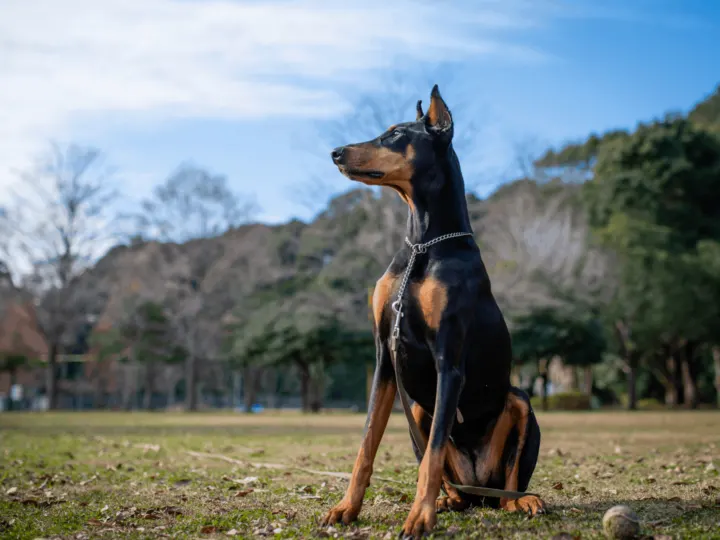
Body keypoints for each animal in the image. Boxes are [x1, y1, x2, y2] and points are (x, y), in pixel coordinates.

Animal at [322, 86, 544, 536]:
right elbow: (367, 445)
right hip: (419, 410)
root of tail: (479, 486)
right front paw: (347, 507)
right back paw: (448, 500)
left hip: (519, 401)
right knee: (453, 483)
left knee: (506, 484)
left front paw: (418, 517)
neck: (423, 245)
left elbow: (434, 452)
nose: (335, 152)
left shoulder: (449, 360)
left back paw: (522, 500)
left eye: (394, 134)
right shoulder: (384, 357)